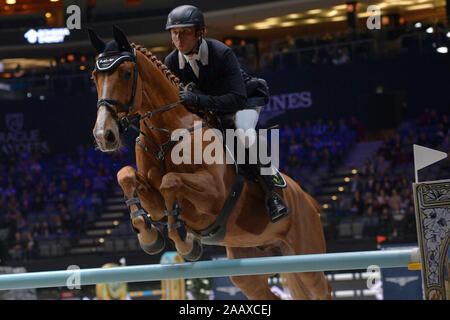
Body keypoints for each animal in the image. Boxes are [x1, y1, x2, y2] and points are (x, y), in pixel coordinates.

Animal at [88, 26, 330, 300]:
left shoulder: (214, 195)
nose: (104, 135)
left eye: (127, 73)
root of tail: (309, 199)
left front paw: (185, 242)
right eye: (94, 77)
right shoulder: (155, 197)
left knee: (322, 288)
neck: (168, 133)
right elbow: (127, 175)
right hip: (250, 263)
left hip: (307, 254)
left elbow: (171, 181)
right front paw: (149, 236)